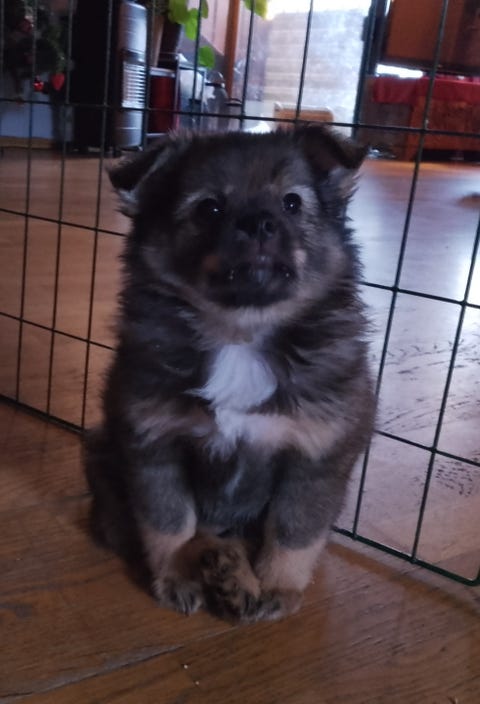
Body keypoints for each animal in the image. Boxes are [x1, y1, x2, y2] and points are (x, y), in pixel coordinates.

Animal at [85, 126, 376, 622]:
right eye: (209, 208)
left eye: (292, 203)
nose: (259, 223)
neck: (240, 334)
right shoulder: (153, 444)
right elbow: (169, 521)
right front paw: (176, 577)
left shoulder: (317, 456)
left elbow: (295, 530)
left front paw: (278, 588)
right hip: (101, 448)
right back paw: (219, 565)